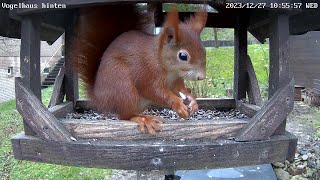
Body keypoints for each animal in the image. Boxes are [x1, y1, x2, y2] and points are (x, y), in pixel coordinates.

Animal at [71, 4, 208, 134]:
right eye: (183, 56)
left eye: (204, 50)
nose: (201, 77)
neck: (169, 70)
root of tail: (99, 99)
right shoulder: (146, 71)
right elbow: (152, 90)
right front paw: (178, 103)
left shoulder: (176, 79)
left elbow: (180, 90)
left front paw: (192, 100)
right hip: (122, 85)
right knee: (125, 115)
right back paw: (144, 119)